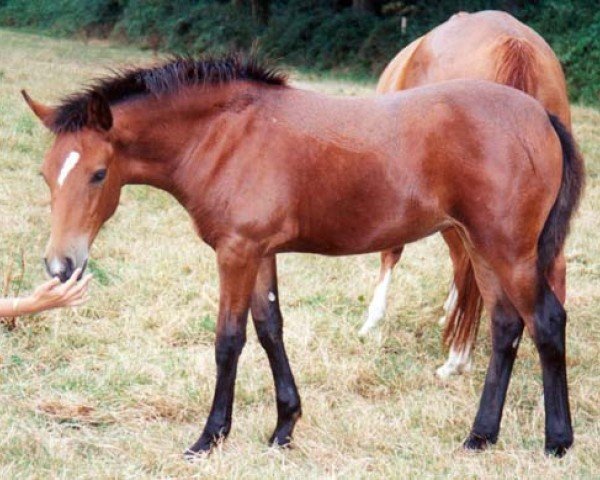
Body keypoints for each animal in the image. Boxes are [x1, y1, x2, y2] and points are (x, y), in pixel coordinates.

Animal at [22, 54, 580, 456]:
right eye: (46, 174)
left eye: (98, 174)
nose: (60, 266)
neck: (227, 135)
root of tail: (541, 115)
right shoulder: (260, 252)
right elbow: (270, 329)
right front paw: (283, 428)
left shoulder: (236, 252)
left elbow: (229, 340)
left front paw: (210, 437)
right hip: (482, 247)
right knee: (506, 327)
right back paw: (480, 437)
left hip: (509, 251)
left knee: (547, 322)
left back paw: (557, 441)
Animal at [360, 9, 572, 380]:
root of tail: (517, 46)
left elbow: (392, 250)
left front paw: (373, 319)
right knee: (553, 270)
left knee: (465, 262)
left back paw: (458, 356)